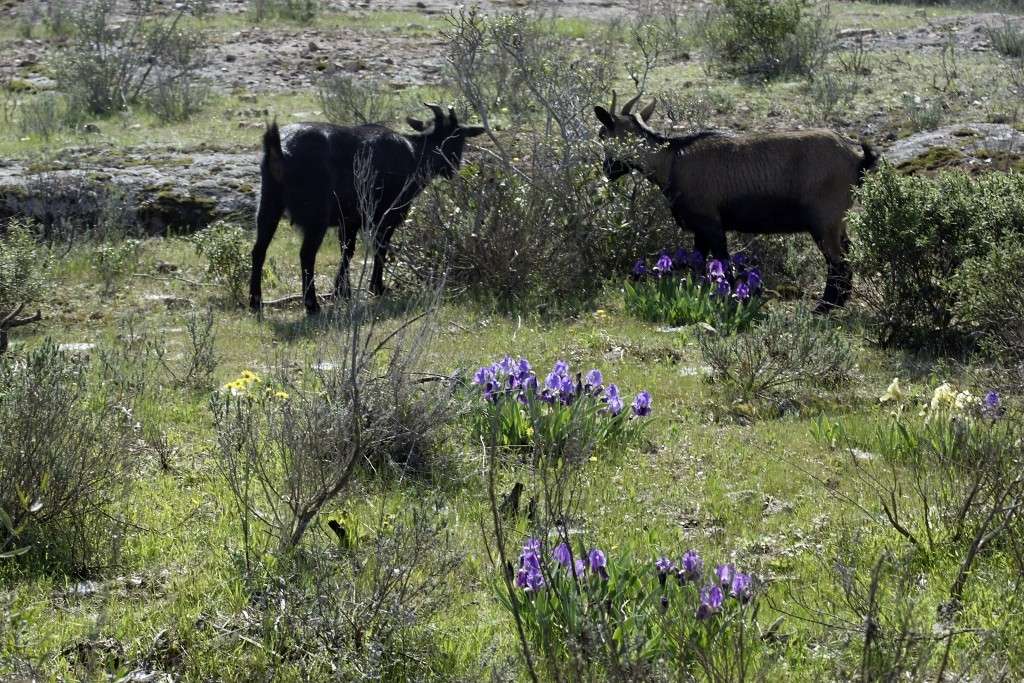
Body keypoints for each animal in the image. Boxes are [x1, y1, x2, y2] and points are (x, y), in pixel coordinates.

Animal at [250, 103, 483, 315]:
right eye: (457, 137)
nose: (453, 169)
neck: (415, 153)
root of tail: (280, 150)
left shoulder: (350, 219)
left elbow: (347, 251)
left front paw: (342, 292)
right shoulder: (387, 214)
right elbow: (380, 248)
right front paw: (377, 288)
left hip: (268, 204)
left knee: (259, 250)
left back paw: (256, 303)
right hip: (316, 217)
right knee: (306, 255)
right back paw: (312, 305)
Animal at [598, 91, 876, 309]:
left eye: (603, 134)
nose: (607, 170)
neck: (672, 159)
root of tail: (857, 158)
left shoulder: (710, 223)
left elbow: (723, 262)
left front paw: (731, 298)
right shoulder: (700, 229)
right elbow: (698, 264)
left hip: (824, 221)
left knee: (838, 264)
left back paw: (824, 308)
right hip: (838, 221)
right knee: (846, 258)